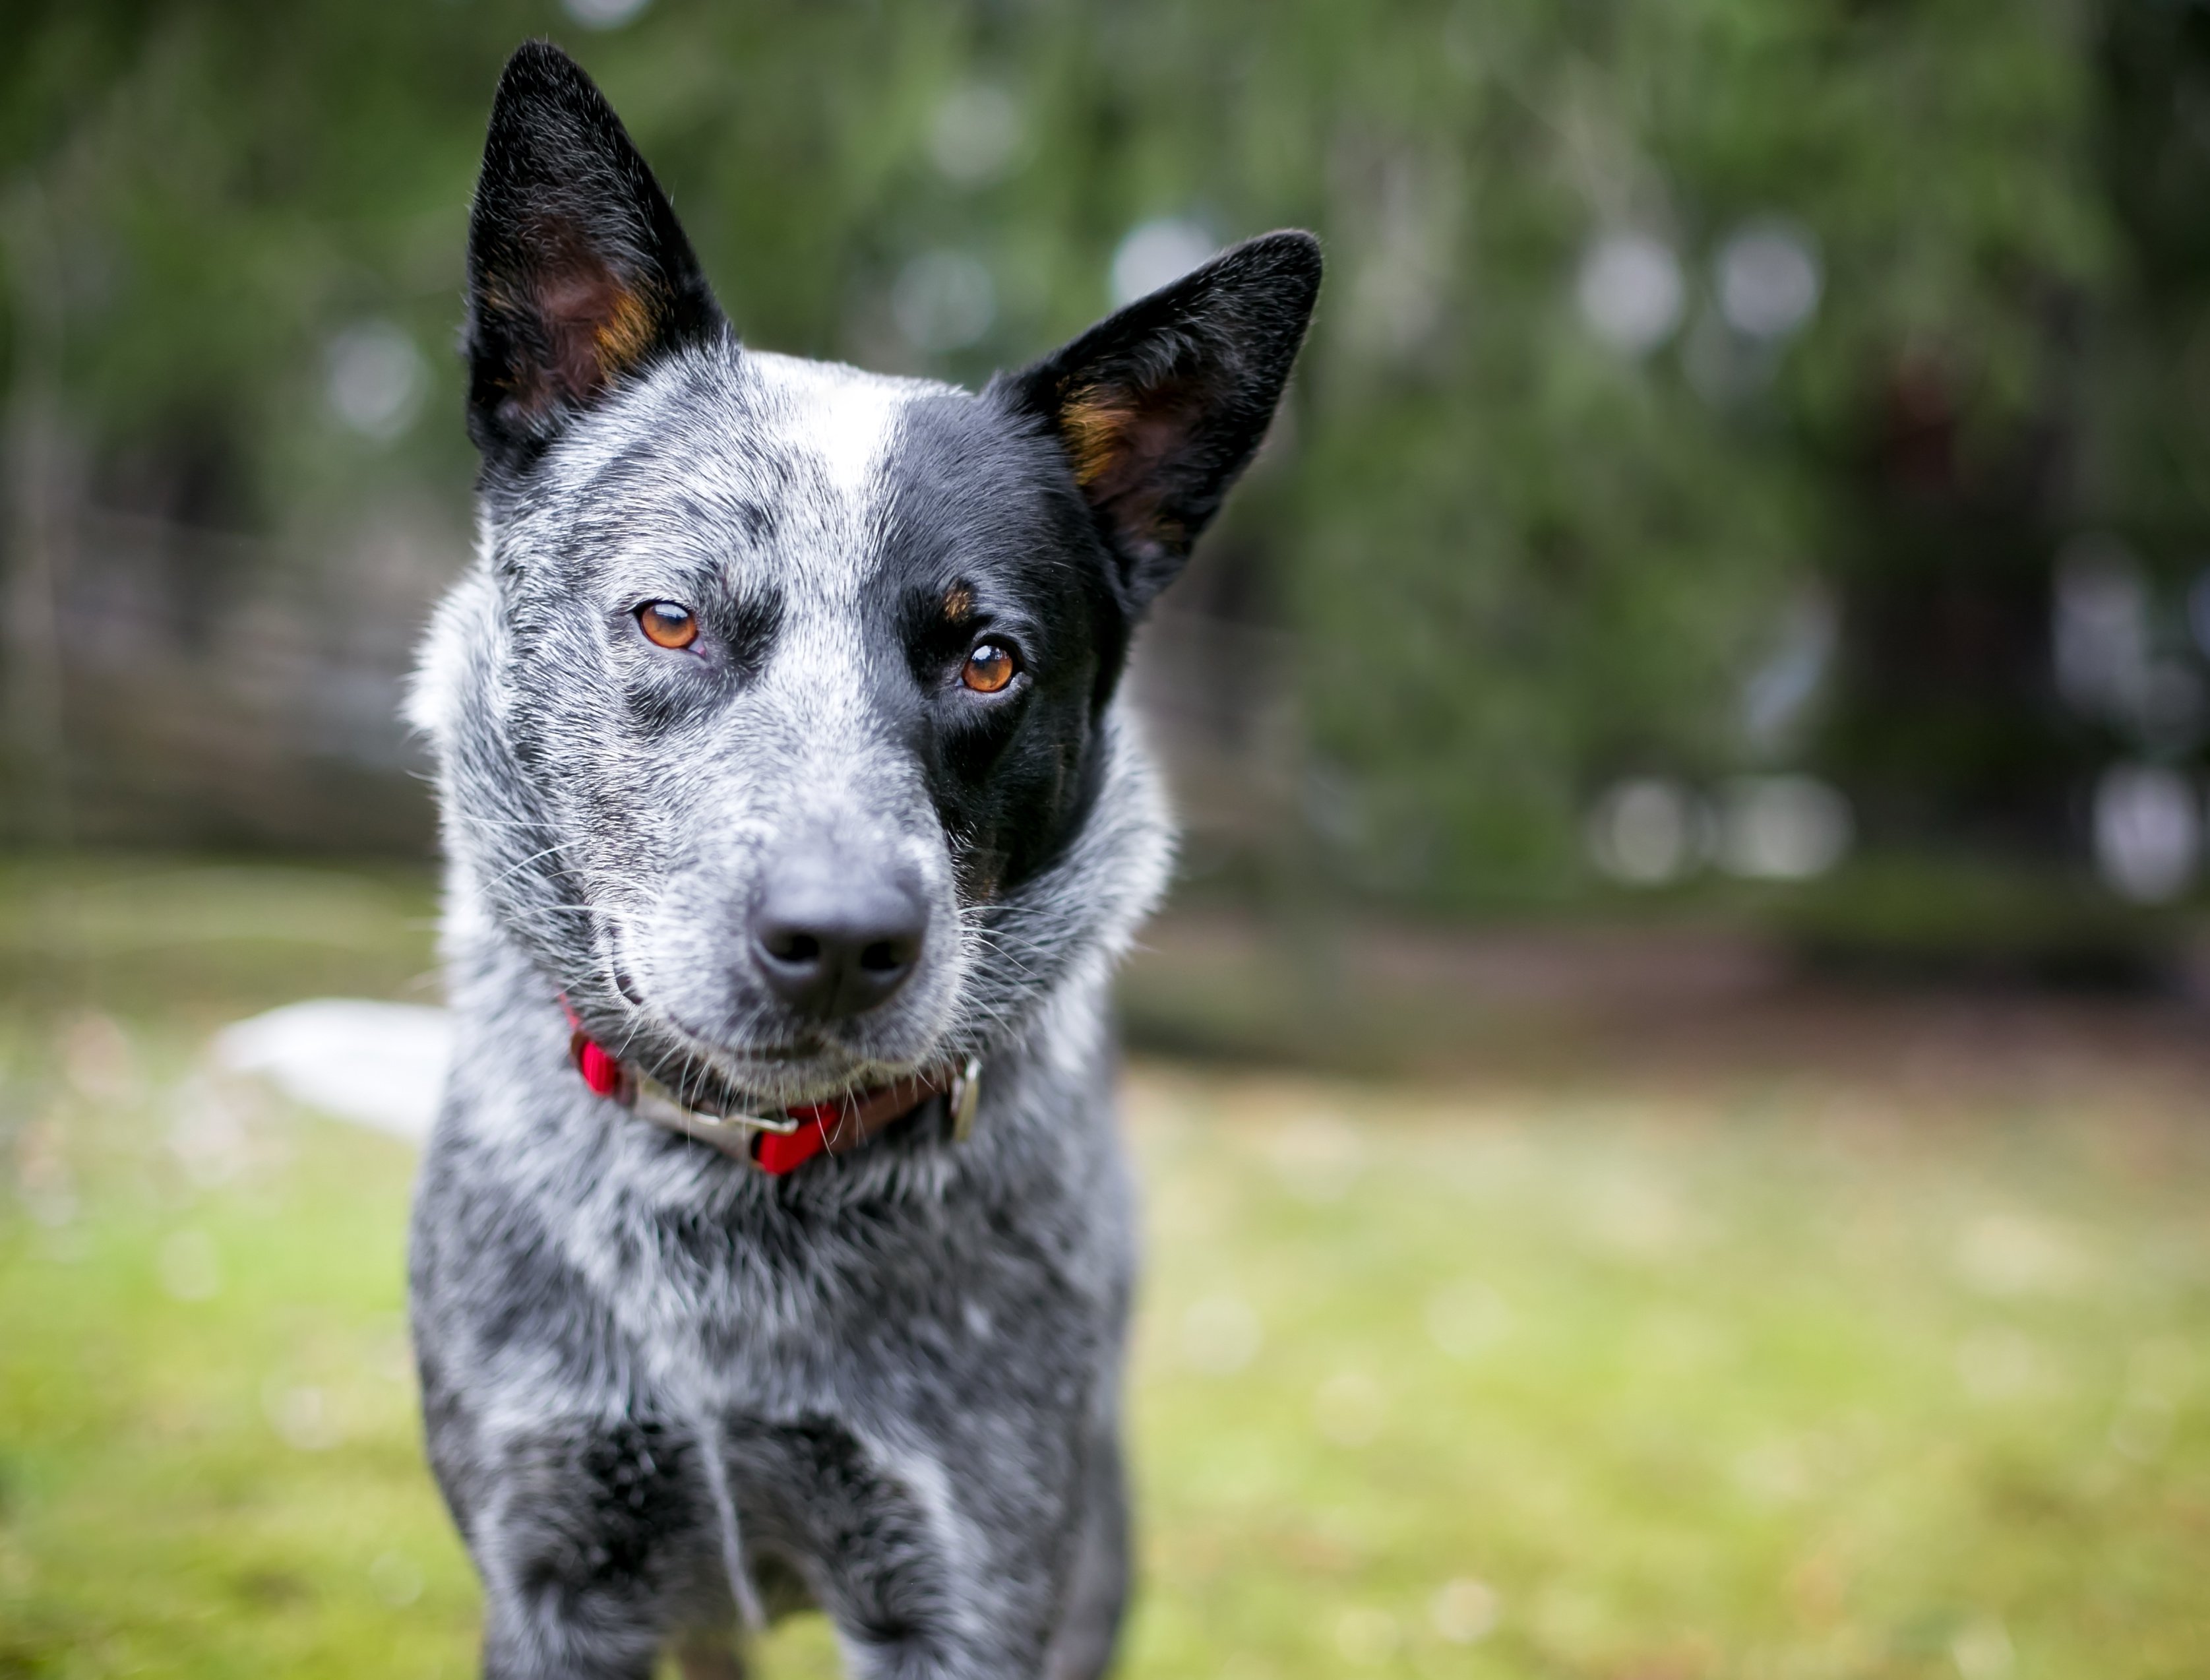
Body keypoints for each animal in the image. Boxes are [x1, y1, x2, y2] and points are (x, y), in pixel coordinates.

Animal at [408, 42, 1317, 1680]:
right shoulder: (556, 1557)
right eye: (671, 617)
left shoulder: (968, 1580)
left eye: (985, 657)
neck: (725, 1195)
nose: (838, 940)